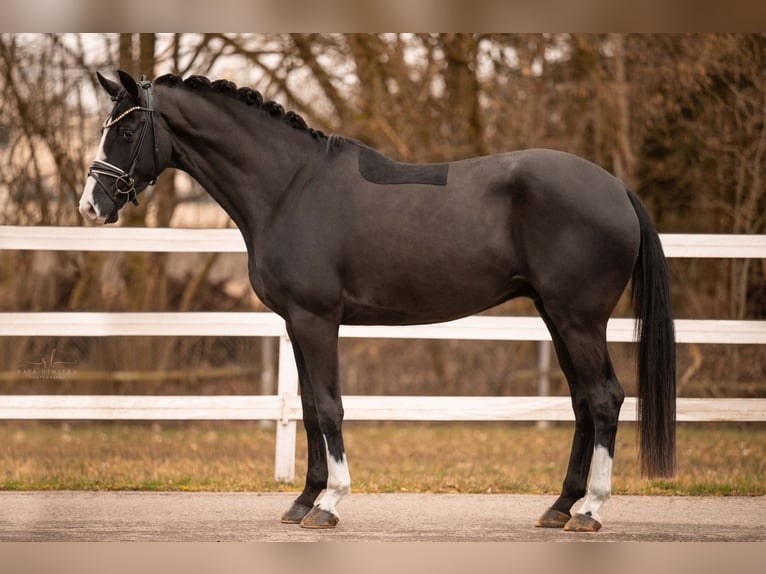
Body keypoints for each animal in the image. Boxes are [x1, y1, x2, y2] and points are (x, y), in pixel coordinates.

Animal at [79, 72, 680, 536]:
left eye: (127, 128)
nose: (91, 205)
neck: (289, 187)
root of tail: (615, 188)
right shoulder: (296, 323)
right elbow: (308, 408)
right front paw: (304, 500)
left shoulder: (317, 320)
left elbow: (329, 407)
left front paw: (329, 503)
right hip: (557, 317)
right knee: (583, 402)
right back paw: (559, 507)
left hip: (579, 320)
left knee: (604, 398)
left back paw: (591, 510)